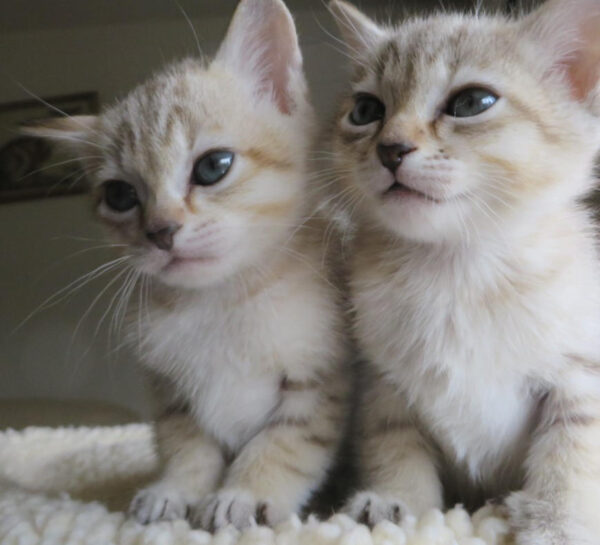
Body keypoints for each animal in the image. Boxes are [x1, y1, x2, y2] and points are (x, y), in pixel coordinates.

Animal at [24, 0, 352, 528]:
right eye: (120, 195)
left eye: (213, 166)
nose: (161, 230)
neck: (221, 303)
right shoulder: (170, 391)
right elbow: (186, 446)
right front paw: (176, 489)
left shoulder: (319, 380)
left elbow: (284, 444)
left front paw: (245, 493)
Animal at [328, 0, 600, 540]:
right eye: (366, 111)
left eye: (472, 102)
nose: (390, 148)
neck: (457, 272)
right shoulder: (382, 384)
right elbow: (395, 444)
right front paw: (397, 504)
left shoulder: (581, 372)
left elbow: (570, 450)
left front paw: (558, 521)